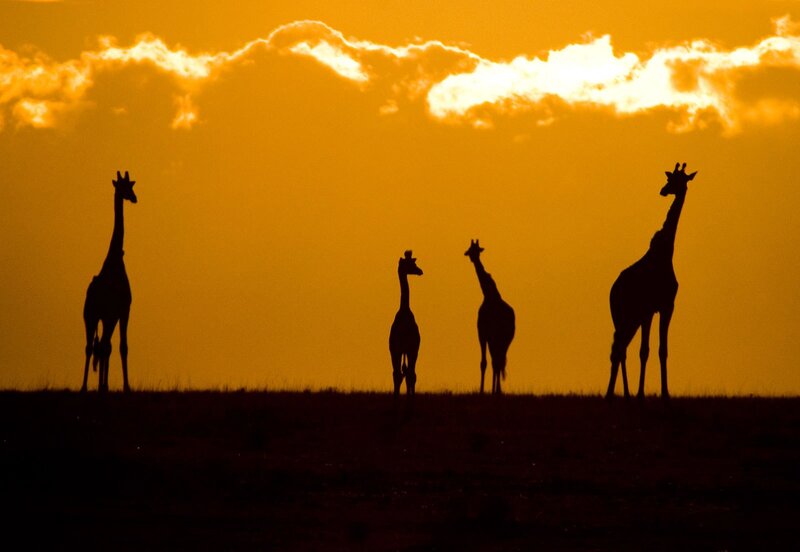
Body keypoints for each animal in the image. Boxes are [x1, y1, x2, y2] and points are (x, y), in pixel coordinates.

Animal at [81, 171, 138, 393]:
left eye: (131, 185)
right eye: (123, 187)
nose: (134, 198)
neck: (115, 260)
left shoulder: (116, 313)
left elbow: (115, 347)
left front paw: (120, 386)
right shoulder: (118, 311)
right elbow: (115, 347)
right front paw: (121, 386)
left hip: (98, 317)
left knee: (98, 345)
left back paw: (93, 386)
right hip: (97, 316)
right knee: (97, 346)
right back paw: (92, 386)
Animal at [465, 240, 515, 394]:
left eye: (475, 249)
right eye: (471, 249)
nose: (471, 257)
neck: (488, 295)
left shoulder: (486, 334)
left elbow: (489, 362)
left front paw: (486, 391)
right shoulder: (486, 335)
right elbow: (487, 362)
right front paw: (485, 390)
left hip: (503, 339)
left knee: (498, 361)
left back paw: (496, 390)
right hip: (500, 340)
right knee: (498, 360)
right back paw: (496, 390)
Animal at [606, 163, 697, 400]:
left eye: (678, 180)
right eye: (670, 178)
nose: (663, 190)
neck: (665, 253)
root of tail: (612, 291)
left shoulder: (665, 307)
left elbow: (660, 350)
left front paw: (661, 393)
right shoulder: (651, 309)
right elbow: (645, 351)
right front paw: (645, 394)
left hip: (630, 318)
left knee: (620, 348)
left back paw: (621, 394)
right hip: (624, 316)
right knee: (619, 348)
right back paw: (615, 394)